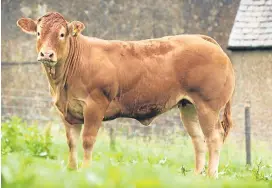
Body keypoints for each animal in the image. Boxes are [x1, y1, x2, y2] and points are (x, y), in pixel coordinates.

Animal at [17, 12, 235, 178]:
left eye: (62, 34)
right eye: (38, 33)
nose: (46, 54)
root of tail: (202, 39)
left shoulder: (94, 106)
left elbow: (87, 140)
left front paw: (86, 171)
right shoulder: (68, 111)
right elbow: (71, 142)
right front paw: (72, 170)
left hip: (208, 106)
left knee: (214, 137)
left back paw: (210, 176)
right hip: (188, 106)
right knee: (198, 139)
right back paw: (196, 175)